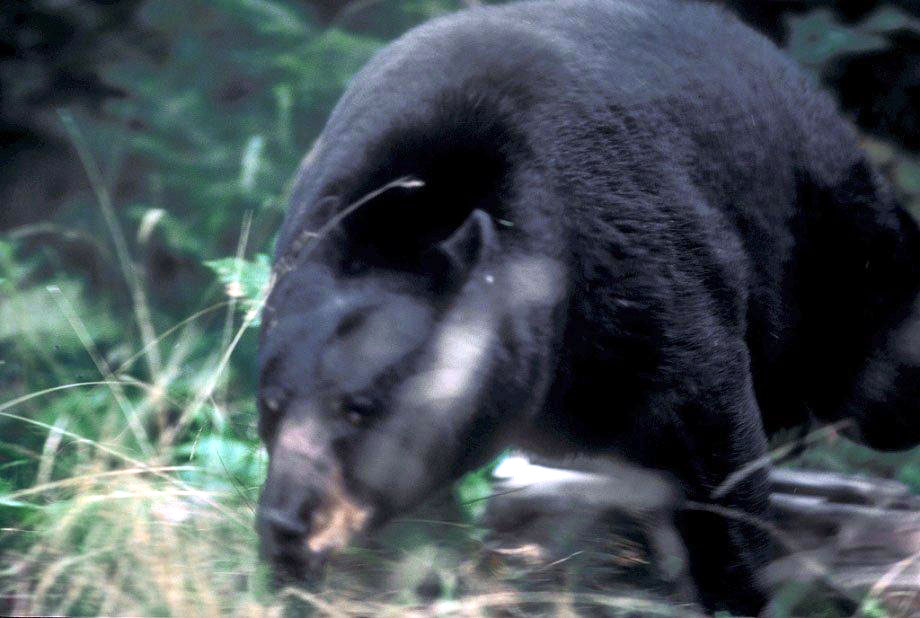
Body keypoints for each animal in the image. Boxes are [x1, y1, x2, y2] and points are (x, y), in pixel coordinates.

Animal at [255, 0, 920, 613]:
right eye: (272, 404)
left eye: (360, 408)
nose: (284, 525)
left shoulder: (638, 265)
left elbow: (714, 438)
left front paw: (746, 586)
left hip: (828, 248)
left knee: (880, 371)